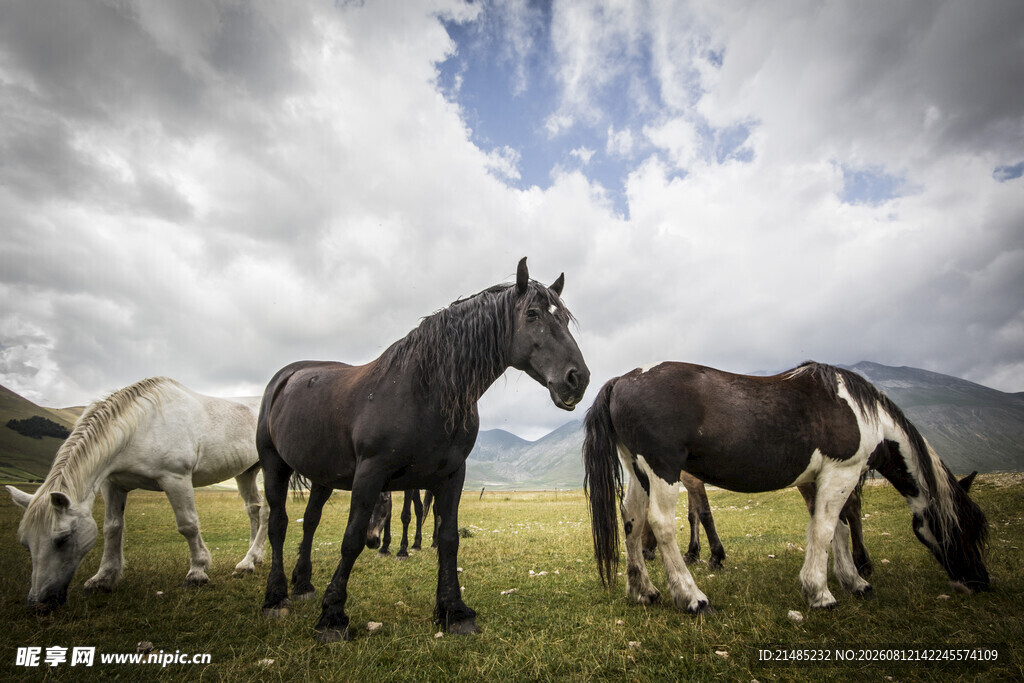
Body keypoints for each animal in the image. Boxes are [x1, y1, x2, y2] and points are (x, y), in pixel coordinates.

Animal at [6, 377, 269, 612]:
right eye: (25, 543)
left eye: (62, 539)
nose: (39, 605)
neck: (141, 425)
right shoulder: (112, 484)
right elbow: (112, 528)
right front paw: (103, 578)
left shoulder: (176, 478)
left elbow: (188, 525)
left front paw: (197, 573)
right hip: (246, 472)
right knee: (253, 509)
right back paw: (252, 558)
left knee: (266, 511)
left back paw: (248, 561)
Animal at [257, 258, 589, 641]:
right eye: (532, 314)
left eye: (564, 319)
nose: (577, 379)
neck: (423, 390)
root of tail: (286, 377)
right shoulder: (370, 474)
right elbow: (352, 539)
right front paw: (333, 616)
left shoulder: (451, 475)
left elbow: (448, 538)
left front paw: (454, 611)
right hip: (274, 465)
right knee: (278, 524)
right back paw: (276, 596)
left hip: (322, 476)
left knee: (310, 522)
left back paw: (302, 584)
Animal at [640, 473, 873, 578]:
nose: (644, 552)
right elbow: (693, 515)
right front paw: (692, 553)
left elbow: (704, 513)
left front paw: (716, 556)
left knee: (846, 504)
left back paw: (861, 562)